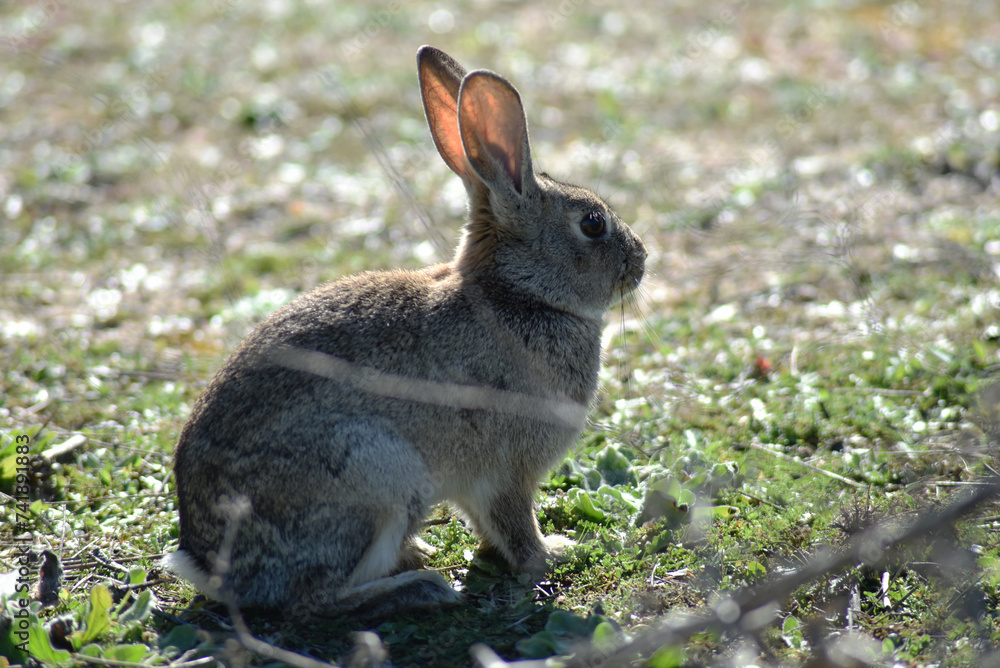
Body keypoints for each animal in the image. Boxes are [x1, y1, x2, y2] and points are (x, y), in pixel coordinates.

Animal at [162, 45, 646, 621]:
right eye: (593, 224)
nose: (641, 260)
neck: (518, 294)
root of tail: (209, 562)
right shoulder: (507, 472)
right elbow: (515, 524)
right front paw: (551, 555)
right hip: (374, 475)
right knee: (311, 601)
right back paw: (420, 586)